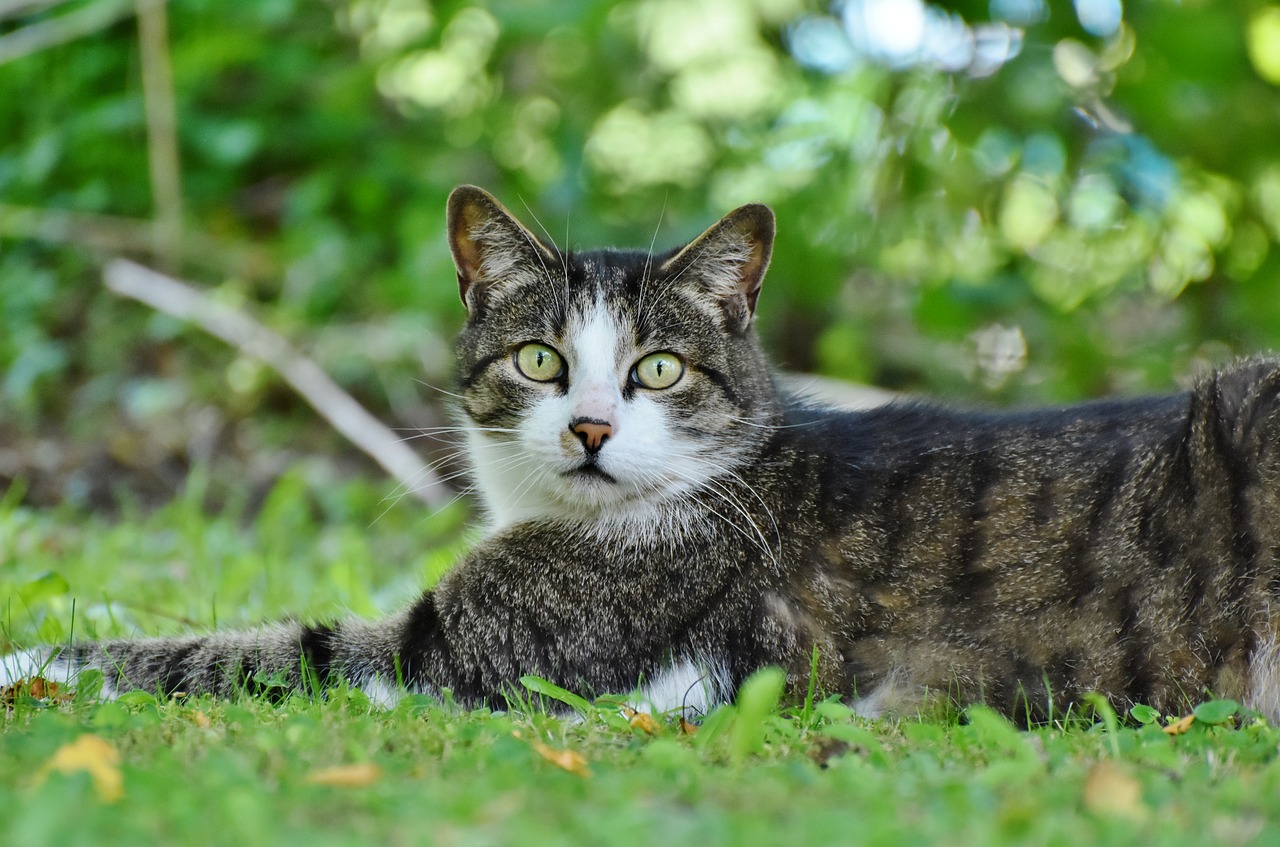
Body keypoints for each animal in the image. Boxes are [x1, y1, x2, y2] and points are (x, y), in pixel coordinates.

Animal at [2, 182, 1280, 726]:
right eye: (538, 359)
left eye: (657, 369)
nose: (589, 427)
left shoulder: (461, 650)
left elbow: (231, 647)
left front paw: (30, 657)